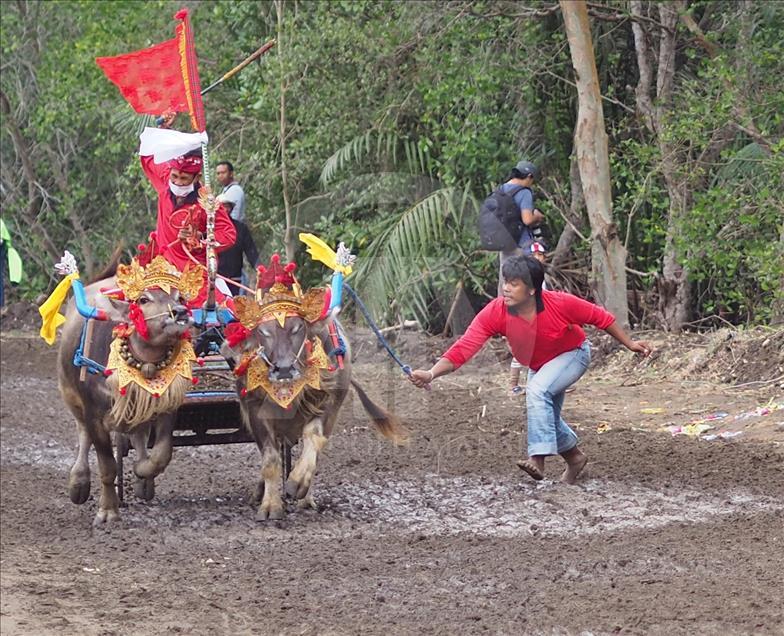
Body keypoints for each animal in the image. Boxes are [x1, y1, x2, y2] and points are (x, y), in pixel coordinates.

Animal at [58, 256, 199, 524]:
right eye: (143, 300)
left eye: (180, 297)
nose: (180, 313)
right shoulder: (95, 416)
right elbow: (107, 466)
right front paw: (107, 510)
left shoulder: (166, 407)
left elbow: (161, 454)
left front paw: (142, 471)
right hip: (71, 396)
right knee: (82, 434)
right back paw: (78, 482)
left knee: (138, 435)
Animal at [224, 296, 408, 520]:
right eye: (263, 332)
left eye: (297, 328)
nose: (283, 369)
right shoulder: (255, 411)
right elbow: (270, 460)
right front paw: (270, 506)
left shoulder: (325, 405)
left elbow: (312, 438)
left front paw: (297, 483)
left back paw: (305, 497)